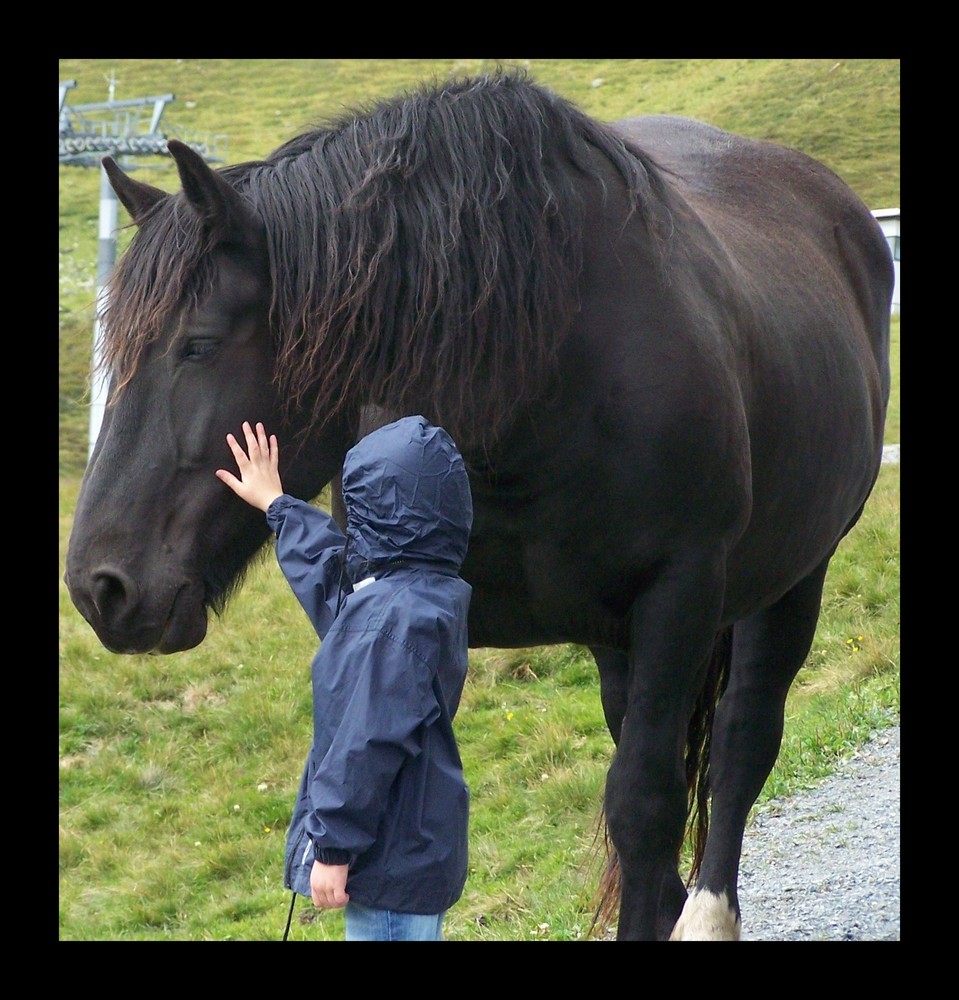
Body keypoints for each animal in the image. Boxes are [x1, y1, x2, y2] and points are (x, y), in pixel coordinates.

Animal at [65, 74, 892, 940]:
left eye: (196, 345)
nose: (99, 586)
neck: (537, 382)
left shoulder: (680, 598)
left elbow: (646, 804)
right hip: (616, 640)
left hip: (791, 579)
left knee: (739, 743)